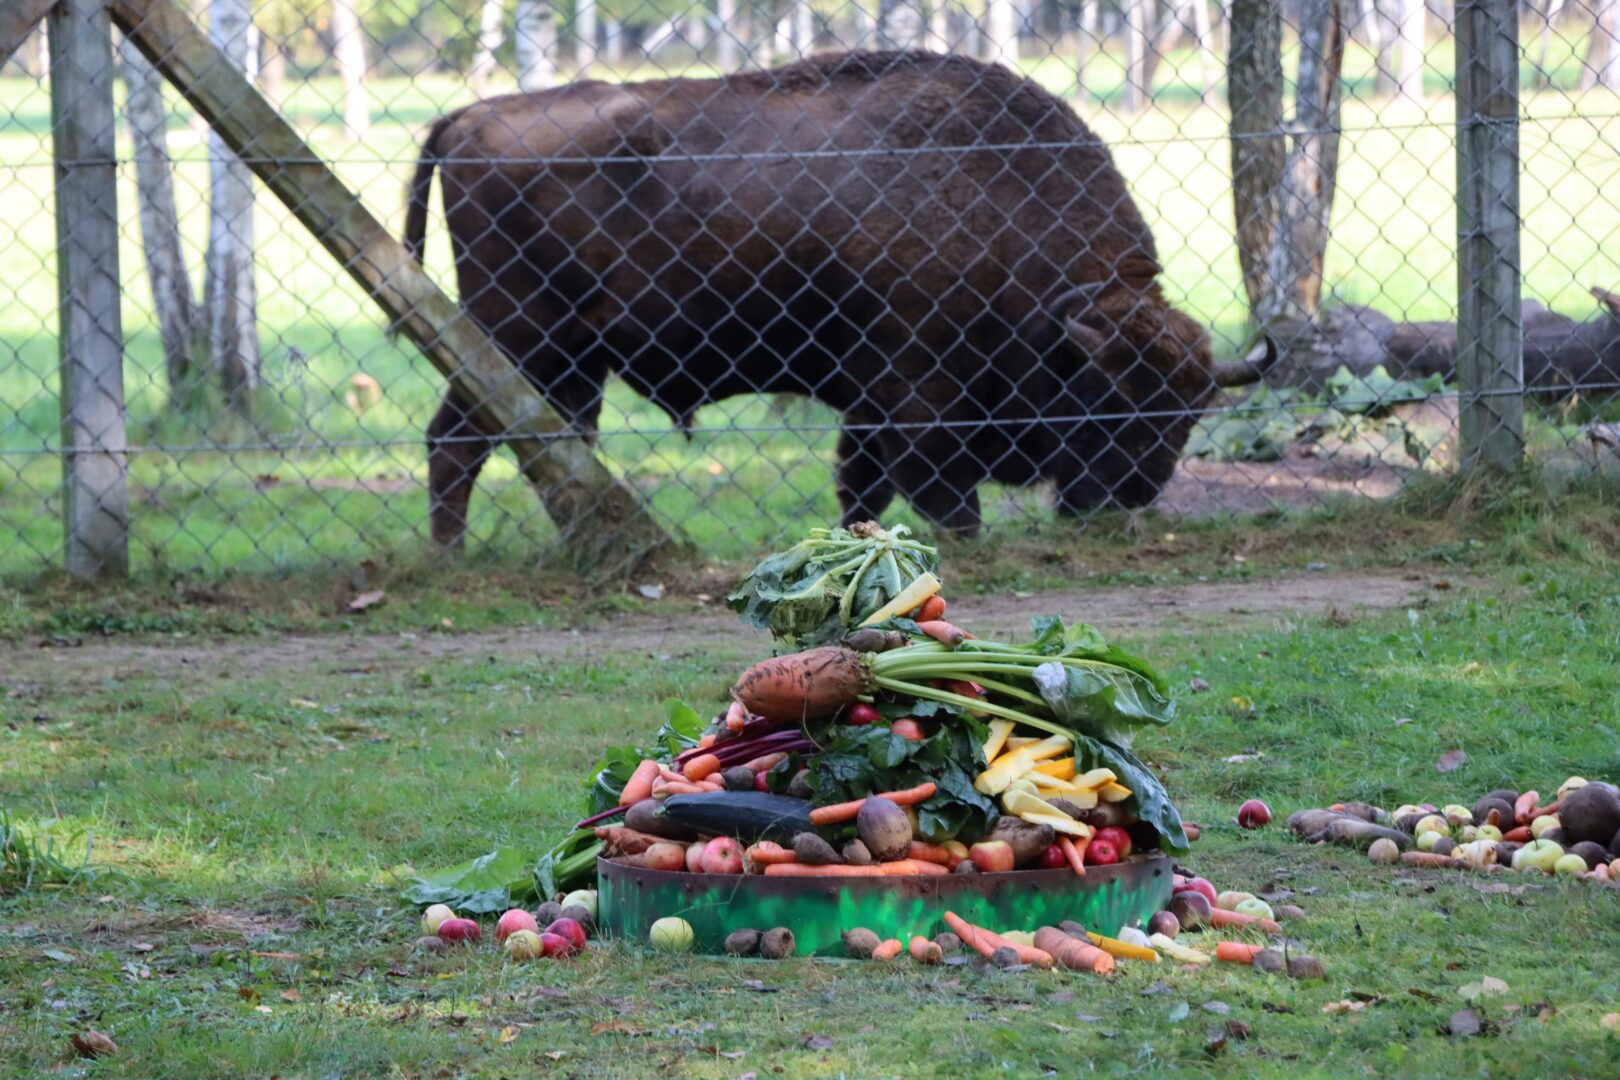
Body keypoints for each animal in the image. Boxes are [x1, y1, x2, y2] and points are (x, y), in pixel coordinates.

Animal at [401, 49, 1263, 540]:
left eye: (1188, 414)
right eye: (1106, 397)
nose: (1128, 496)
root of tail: (466, 115)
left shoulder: (869, 402)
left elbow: (863, 487)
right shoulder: (919, 396)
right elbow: (941, 492)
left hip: (570, 363)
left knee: (554, 450)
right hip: (513, 339)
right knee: (459, 444)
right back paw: (451, 558)